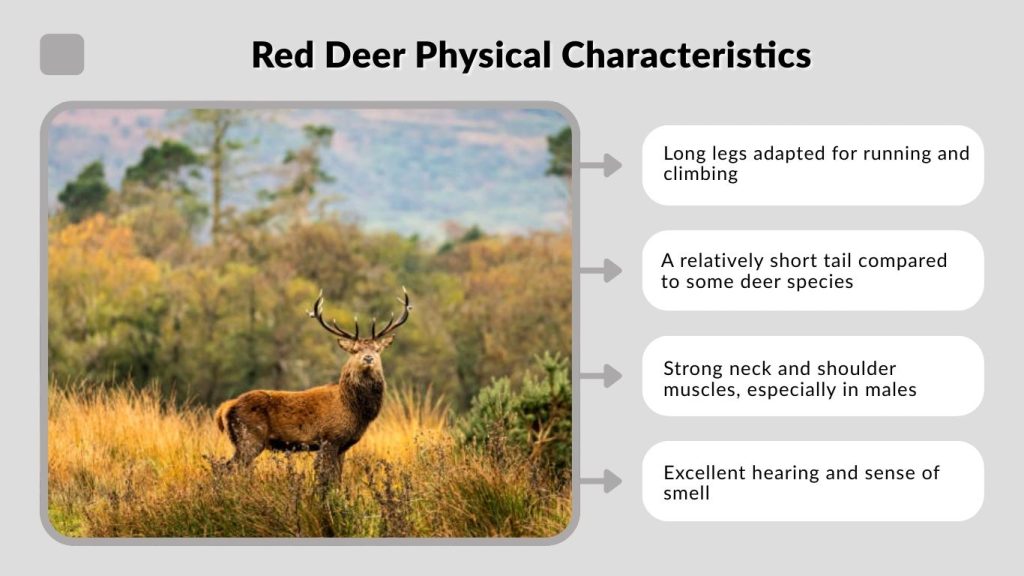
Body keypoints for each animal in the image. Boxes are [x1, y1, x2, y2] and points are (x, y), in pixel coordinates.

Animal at [214, 288, 411, 489]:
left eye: (377, 349)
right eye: (355, 350)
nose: (368, 357)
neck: (353, 409)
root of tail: (225, 407)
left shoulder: (343, 446)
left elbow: (337, 478)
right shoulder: (329, 438)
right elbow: (326, 478)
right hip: (250, 438)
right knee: (225, 468)